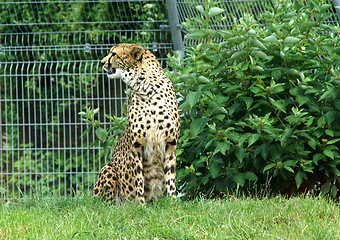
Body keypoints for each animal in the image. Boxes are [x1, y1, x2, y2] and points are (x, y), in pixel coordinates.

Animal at [91, 44, 182, 203]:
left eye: (113, 54)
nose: (102, 62)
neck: (147, 88)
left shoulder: (171, 144)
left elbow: (170, 179)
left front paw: (173, 203)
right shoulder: (136, 146)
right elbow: (137, 180)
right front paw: (140, 205)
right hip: (108, 168)